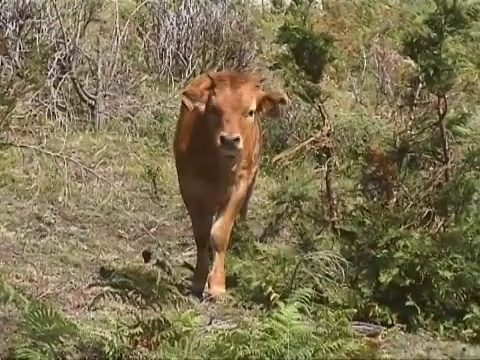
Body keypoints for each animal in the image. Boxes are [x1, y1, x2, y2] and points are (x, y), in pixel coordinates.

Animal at [173, 70, 288, 298]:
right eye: (214, 109)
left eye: (250, 111)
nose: (229, 140)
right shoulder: (190, 186)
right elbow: (201, 234)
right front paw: (199, 280)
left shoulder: (239, 187)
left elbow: (219, 234)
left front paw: (217, 285)